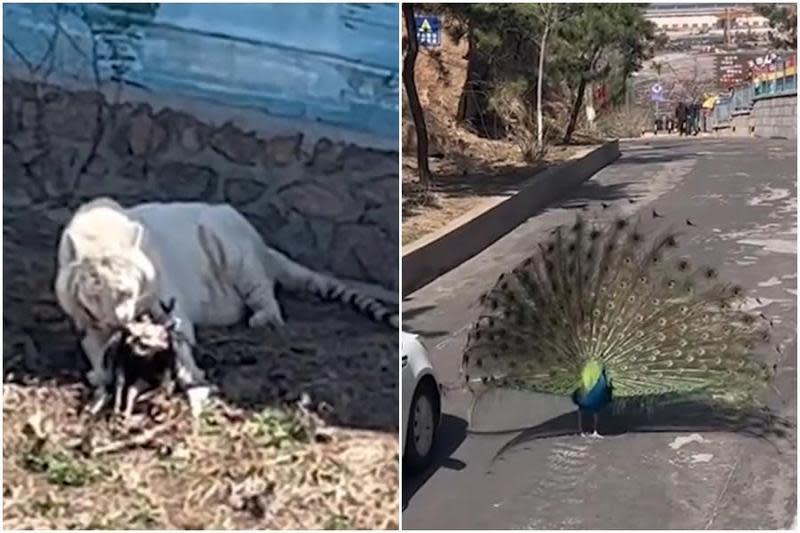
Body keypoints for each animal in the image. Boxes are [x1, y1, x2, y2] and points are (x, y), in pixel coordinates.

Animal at [53, 197, 396, 414]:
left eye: (128, 290)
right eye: (96, 292)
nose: (121, 322)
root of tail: (263, 246)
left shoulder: (167, 303)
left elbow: (179, 337)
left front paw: (190, 374)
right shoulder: (85, 319)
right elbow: (96, 347)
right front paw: (100, 374)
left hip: (234, 251)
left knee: (264, 293)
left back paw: (263, 318)